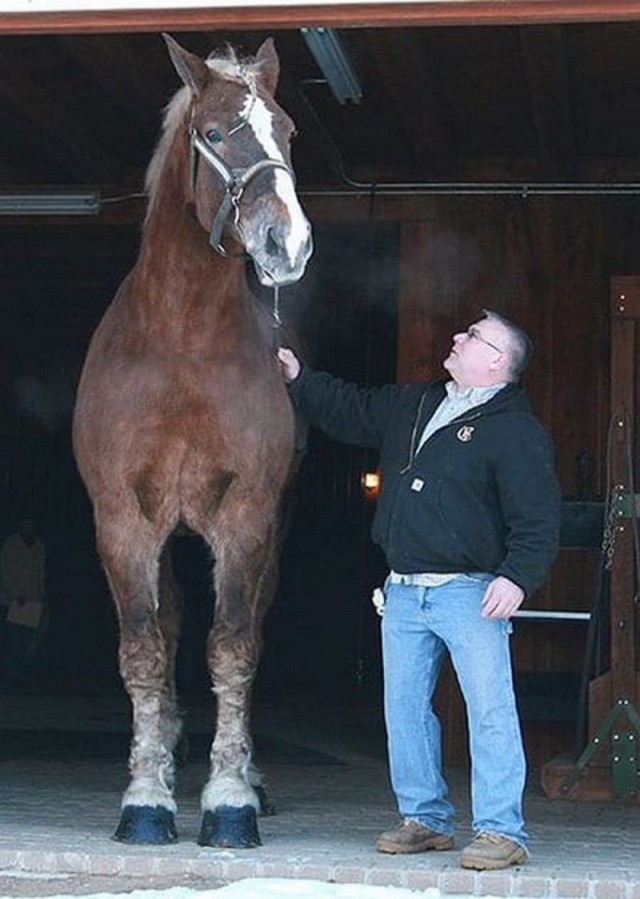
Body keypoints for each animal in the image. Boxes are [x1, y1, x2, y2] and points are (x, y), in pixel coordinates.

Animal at [72, 35, 312, 852]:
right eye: (213, 133)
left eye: (287, 132)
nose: (288, 243)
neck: (181, 343)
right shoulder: (123, 520)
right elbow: (145, 649)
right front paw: (146, 796)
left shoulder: (245, 520)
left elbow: (233, 647)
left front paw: (230, 798)